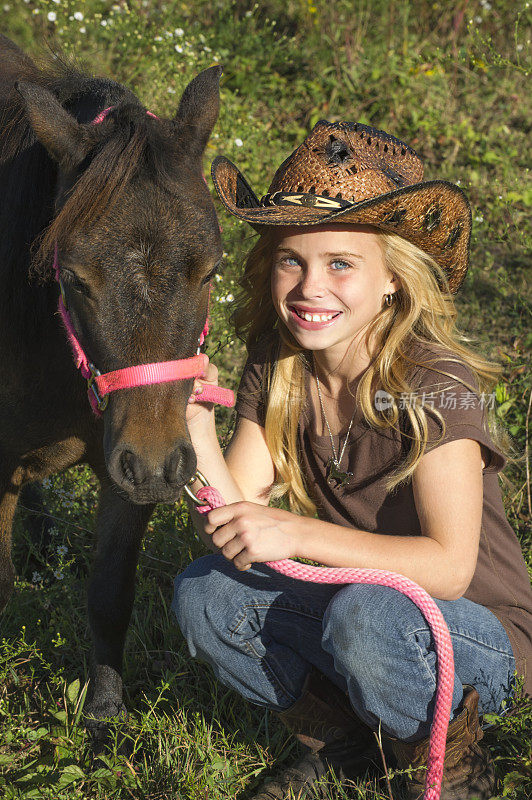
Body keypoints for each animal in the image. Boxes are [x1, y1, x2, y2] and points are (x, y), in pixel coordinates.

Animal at [0, 37, 222, 736]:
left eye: (212, 271)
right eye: (72, 276)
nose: (154, 465)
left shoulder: (127, 470)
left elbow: (108, 594)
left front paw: (102, 713)